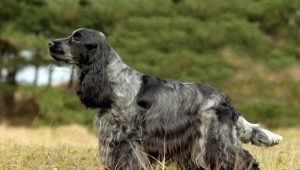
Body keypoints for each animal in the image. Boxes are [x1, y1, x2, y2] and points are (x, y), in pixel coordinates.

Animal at [48, 28, 282, 169]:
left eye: (76, 38)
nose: (50, 43)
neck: (113, 81)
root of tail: (226, 100)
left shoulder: (127, 138)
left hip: (216, 138)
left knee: (243, 159)